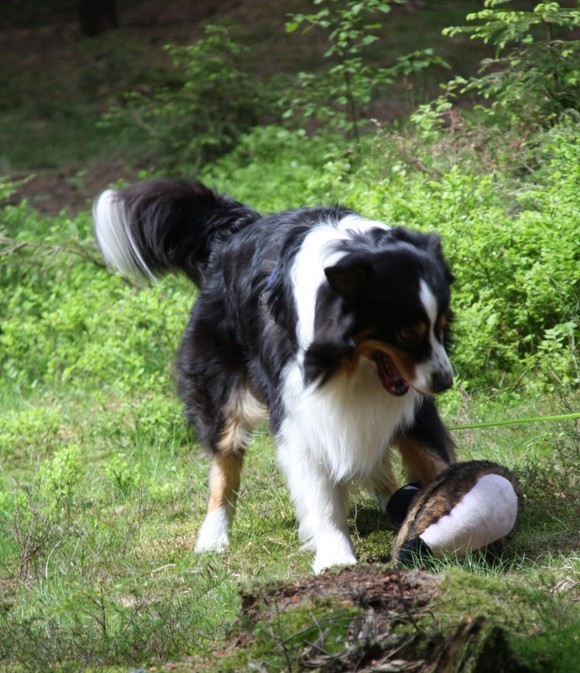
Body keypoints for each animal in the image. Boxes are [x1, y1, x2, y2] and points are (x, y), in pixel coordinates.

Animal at [93, 178, 456, 573]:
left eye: (441, 326)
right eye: (405, 334)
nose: (445, 382)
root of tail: (234, 231)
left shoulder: (411, 404)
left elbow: (433, 458)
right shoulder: (297, 408)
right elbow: (319, 492)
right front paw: (335, 556)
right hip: (221, 390)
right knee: (224, 462)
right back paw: (213, 536)